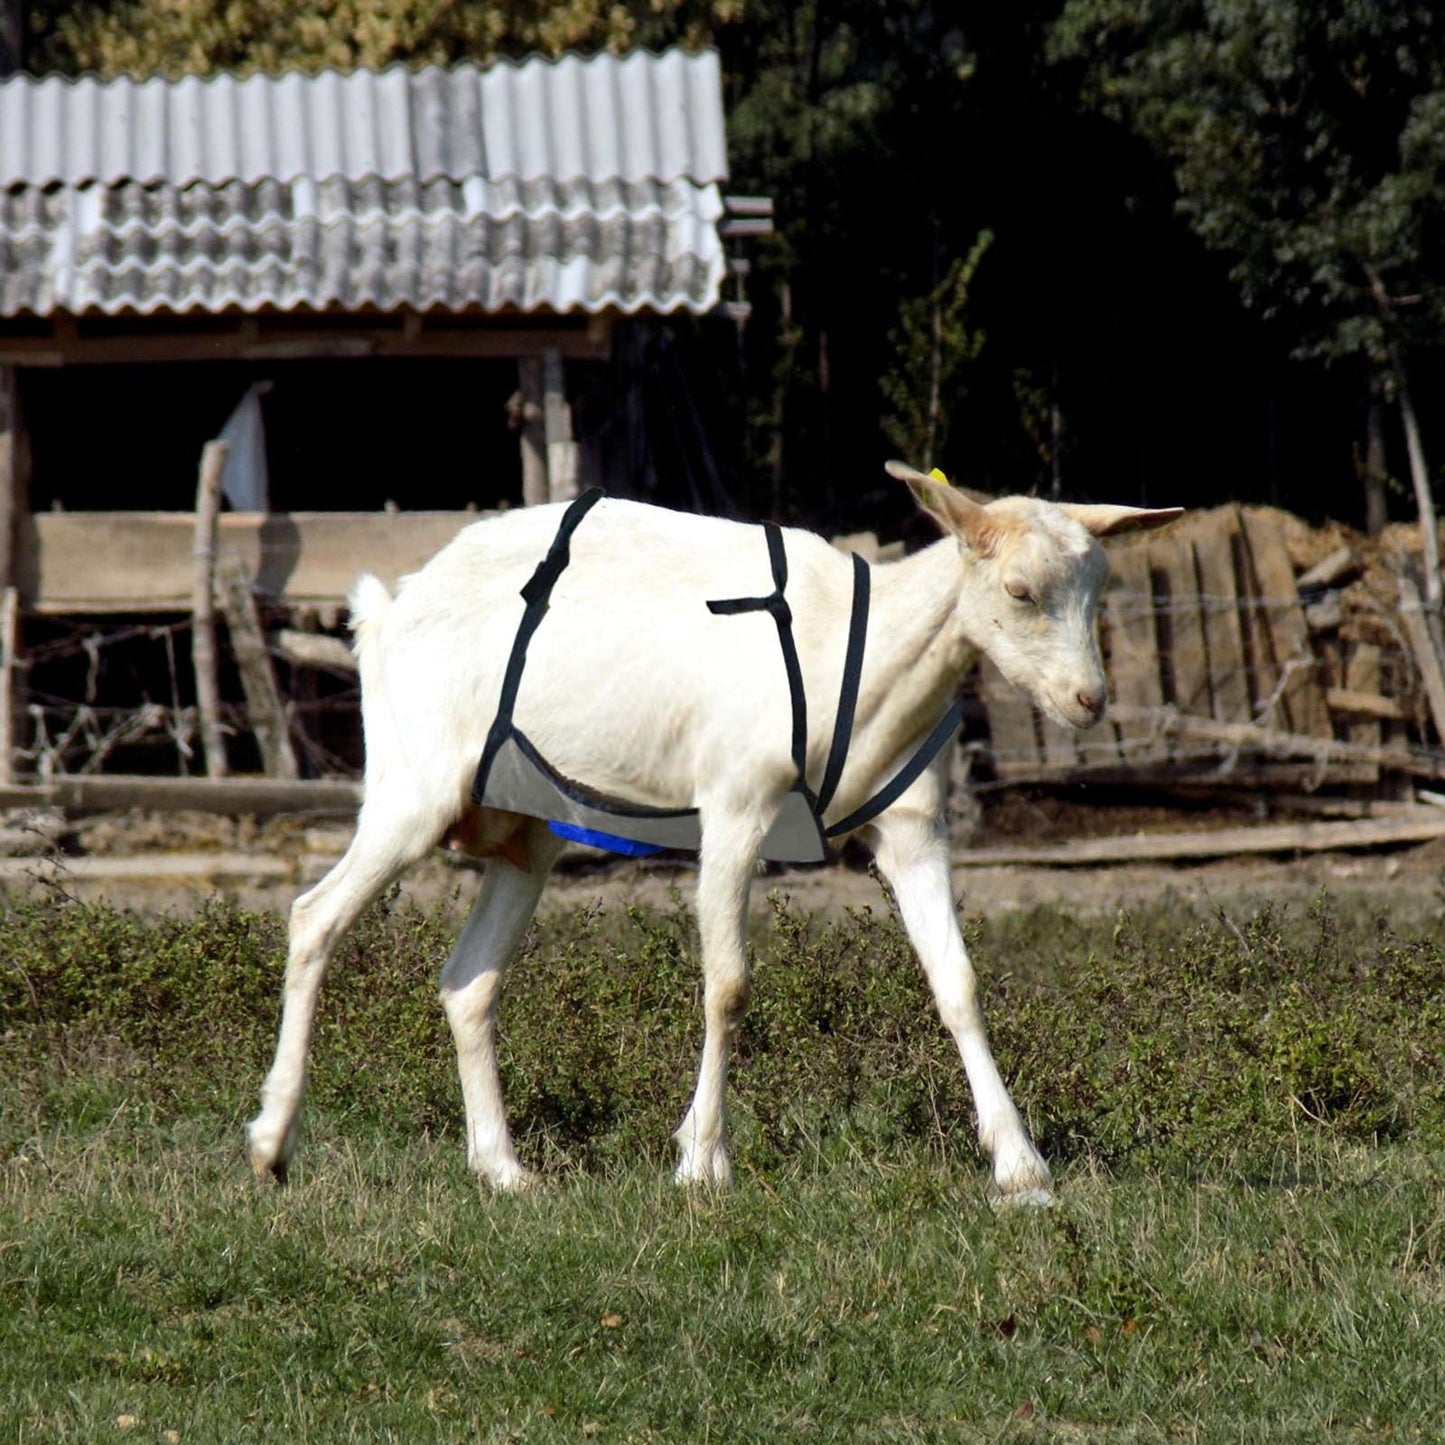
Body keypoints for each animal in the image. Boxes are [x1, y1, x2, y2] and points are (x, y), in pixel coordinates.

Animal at [246, 463, 1179, 1204]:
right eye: (1019, 591)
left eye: (1098, 592)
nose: (1088, 700)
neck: (862, 657)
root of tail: (386, 609)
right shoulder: (736, 803)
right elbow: (727, 983)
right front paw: (701, 1161)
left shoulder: (912, 825)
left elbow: (957, 980)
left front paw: (1020, 1167)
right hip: (411, 784)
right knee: (314, 917)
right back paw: (271, 1143)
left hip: (526, 831)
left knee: (467, 981)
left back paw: (505, 1170)